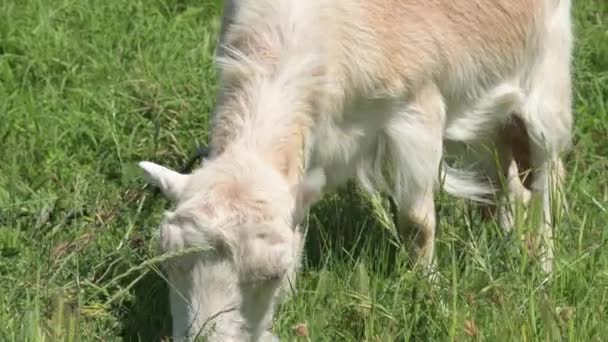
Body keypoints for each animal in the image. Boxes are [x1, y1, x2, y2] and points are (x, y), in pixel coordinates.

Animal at [140, 0, 572, 340]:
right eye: (167, 260)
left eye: (270, 274)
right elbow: (298, 223)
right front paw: (293, 298)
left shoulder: (417, 111)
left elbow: (417, 223)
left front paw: (428, 292)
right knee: (506, 178)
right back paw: (509, 242)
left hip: (547, 74)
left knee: (547, 179)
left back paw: (544, 268)